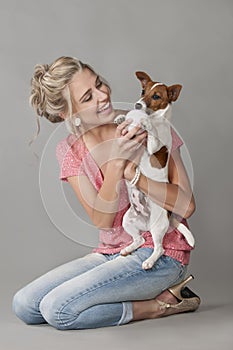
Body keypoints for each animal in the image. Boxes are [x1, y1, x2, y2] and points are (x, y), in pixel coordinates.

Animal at [114, 70, 195, 268]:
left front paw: (146, 124)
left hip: (157, 227)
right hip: (128, 220)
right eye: (143, 91)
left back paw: (149, 262)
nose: (137, 104)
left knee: (159, 249)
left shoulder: (153, 147)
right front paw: (122, 118)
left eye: (156, 96)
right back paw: (128, 249)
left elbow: (151, 135)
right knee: (140, 239)